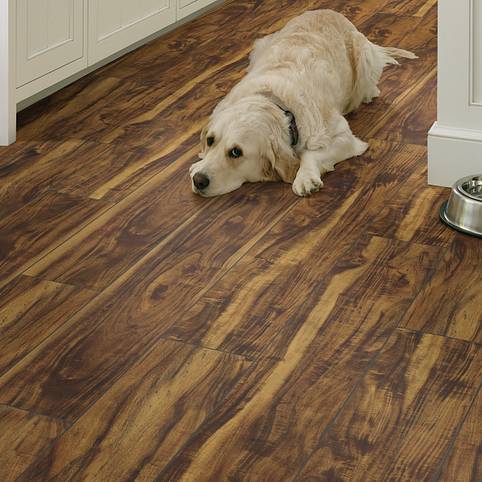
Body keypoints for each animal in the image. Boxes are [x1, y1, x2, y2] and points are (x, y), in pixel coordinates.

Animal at [190, 8, 416, 196]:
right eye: (210, 140)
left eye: (236, 152)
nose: (198, 180)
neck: (272, 100)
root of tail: (330, 11)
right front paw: (197, 164)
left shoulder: (344, 137)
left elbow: (310, 153)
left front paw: (305, 177)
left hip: (364, 57)